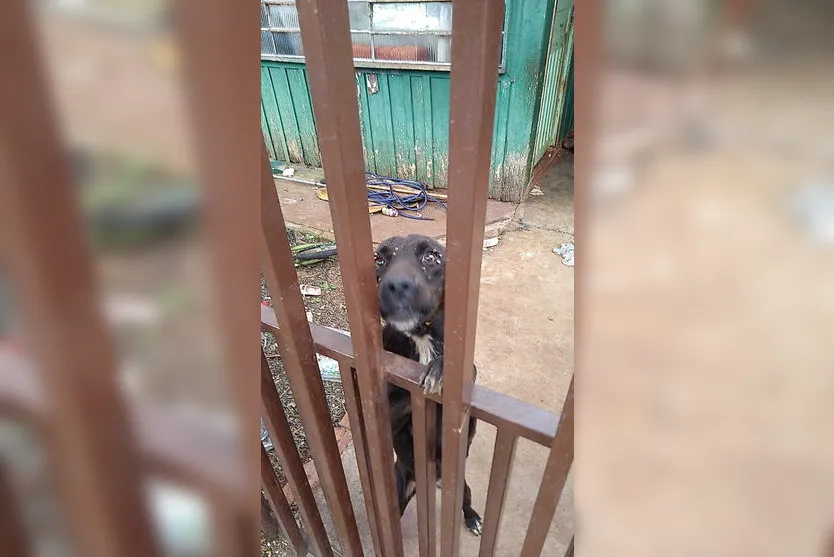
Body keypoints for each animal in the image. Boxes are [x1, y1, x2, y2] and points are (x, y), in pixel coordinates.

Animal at [376, 233, 484, 536]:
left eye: (431, 257)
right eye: (380, 260)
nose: (395, 284)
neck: (420, 335)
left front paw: (440, 369)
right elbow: (399, 394)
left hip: (462, 488)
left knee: (466, 501)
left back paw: (473, 518)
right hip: (400, 487)